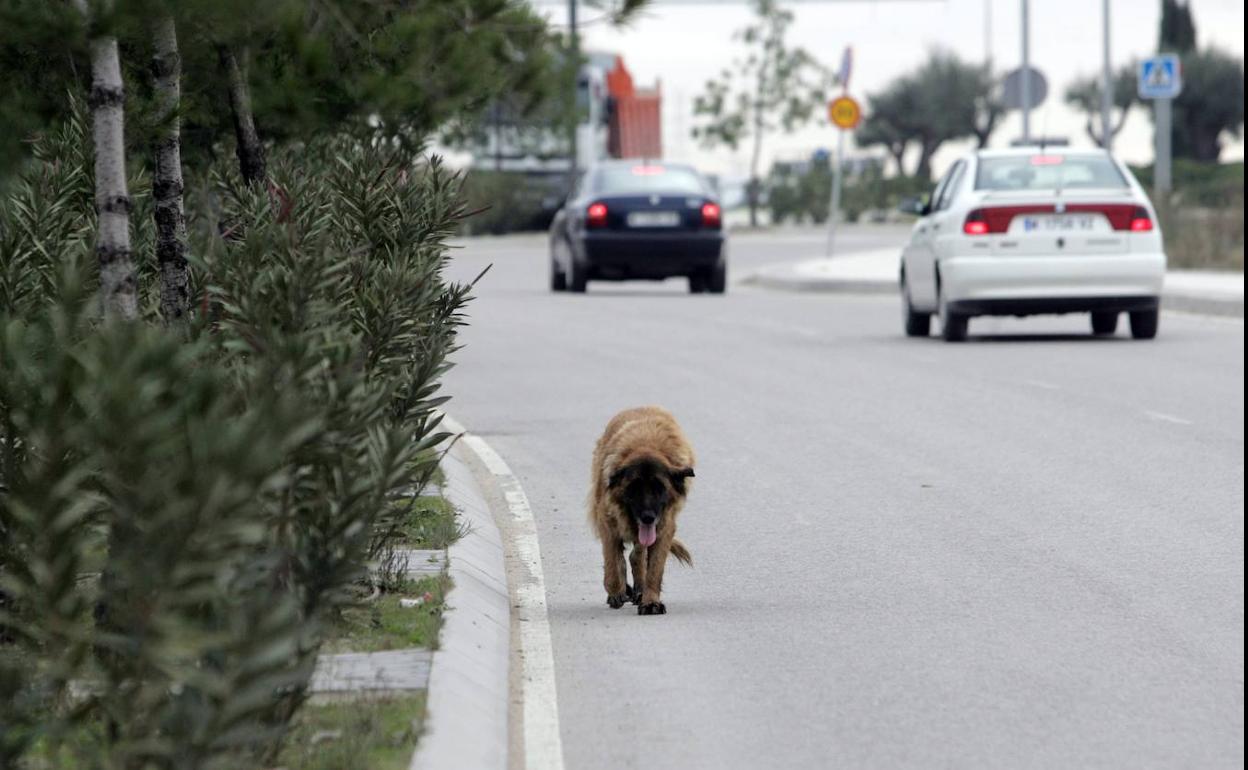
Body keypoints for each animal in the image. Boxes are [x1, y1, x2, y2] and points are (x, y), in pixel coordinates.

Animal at [591, 404, 698, 616]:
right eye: (634, 488)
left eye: (659, 487)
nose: (648, 518)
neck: (645, 446)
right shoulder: (607, 521)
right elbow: (612, 563)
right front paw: (616, 592)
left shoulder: (664, 527)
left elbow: (654, 569)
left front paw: (650, 601)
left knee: (636, 556)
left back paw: (639, 590)